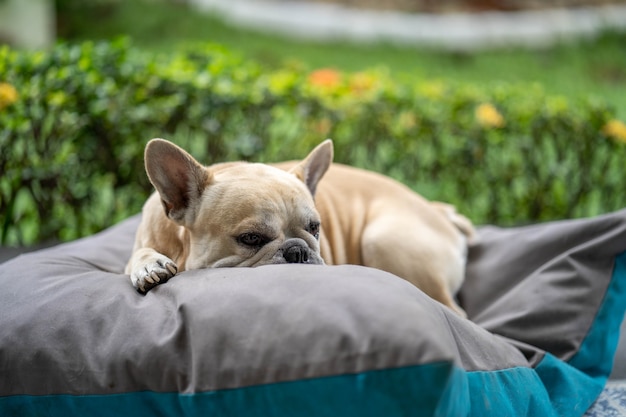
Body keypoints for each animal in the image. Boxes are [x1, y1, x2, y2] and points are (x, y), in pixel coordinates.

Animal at [125, 138, 472, 314]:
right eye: (250, 238)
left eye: (316, 228)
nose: (298, 251)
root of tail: (440, 213)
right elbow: (137, 256)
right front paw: (149, 265)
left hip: (382, 239)